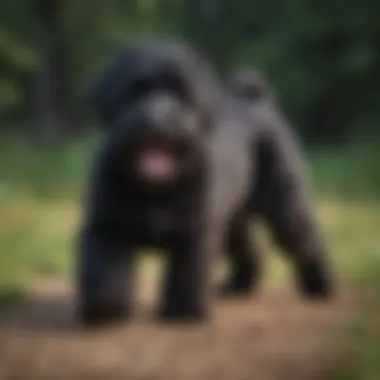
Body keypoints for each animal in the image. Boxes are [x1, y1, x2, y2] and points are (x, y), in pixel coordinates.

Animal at [78, 41, 334, 326]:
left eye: (183, 94)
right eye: (135, 90)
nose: (158, 115)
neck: (156, 189)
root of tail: (256, 98)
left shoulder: (195, 232)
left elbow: (187, 274)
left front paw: (183, 311)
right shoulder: (107, 225)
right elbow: (105, 267)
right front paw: (106, 306)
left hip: (285, 207)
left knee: (308, 243)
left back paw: (321, 287)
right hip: (233, 222)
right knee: (250, 252)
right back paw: (238, 286)